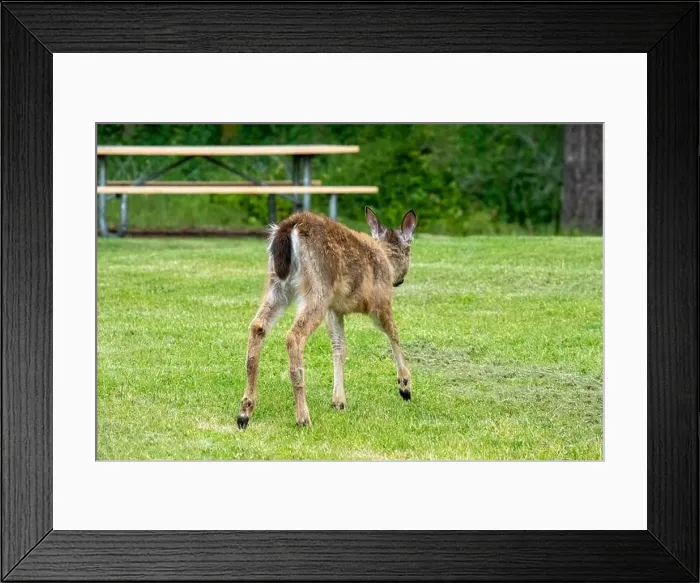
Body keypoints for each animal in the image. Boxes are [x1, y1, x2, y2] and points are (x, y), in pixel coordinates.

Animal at [236, 206, 417, 429]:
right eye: (409, 249)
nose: (399, 281)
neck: (386, 261)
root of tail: (289, 228)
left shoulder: (334, 310)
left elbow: (339, 347)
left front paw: (338, 401)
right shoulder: (380, 301)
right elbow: (394, 333)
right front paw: (405, 386)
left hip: (277, 283)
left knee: (258, 326)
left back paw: (244, 413)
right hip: (317, 287)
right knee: (294, 336)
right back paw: (303, 418)